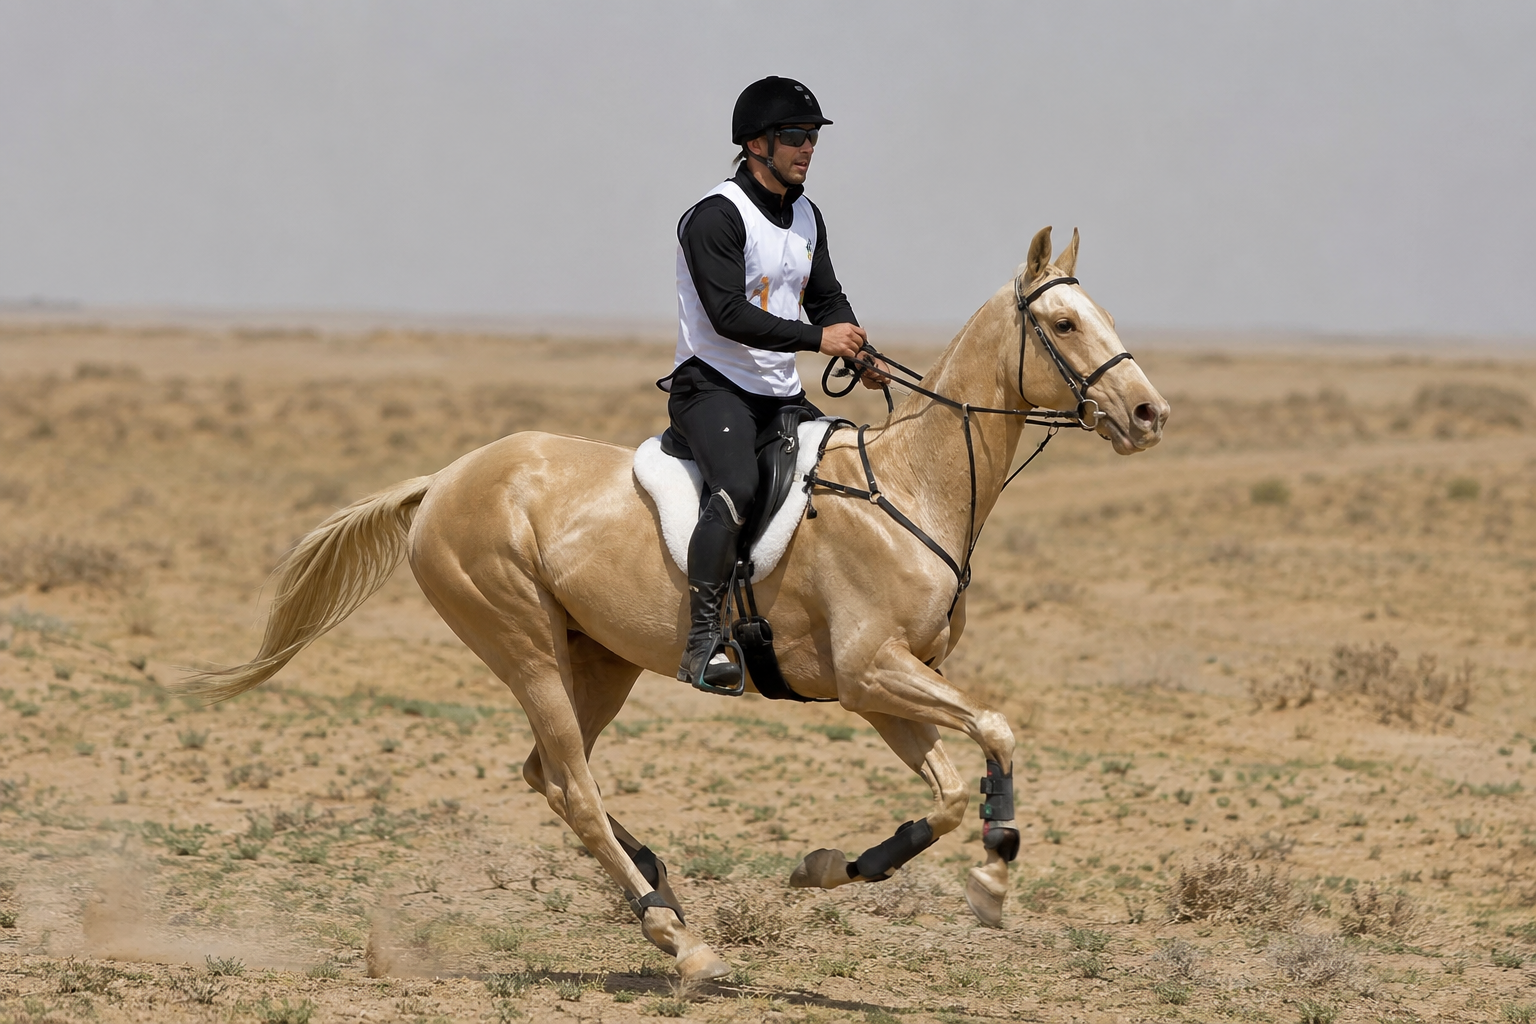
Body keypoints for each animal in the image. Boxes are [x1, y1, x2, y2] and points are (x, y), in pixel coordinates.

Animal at [183, 226, 1169, 981]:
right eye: (1063, 322)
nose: (1150, 415)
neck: (912, 490)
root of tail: (445, 480)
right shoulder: (872, 672)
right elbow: (997, 730)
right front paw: (992, 882)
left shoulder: (882, 688)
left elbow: (955, 788)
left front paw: (832, 869)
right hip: (527, 648)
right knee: (572, 786)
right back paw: (678, 940)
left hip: (601, 660)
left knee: (547, 775)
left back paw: (657, 882)